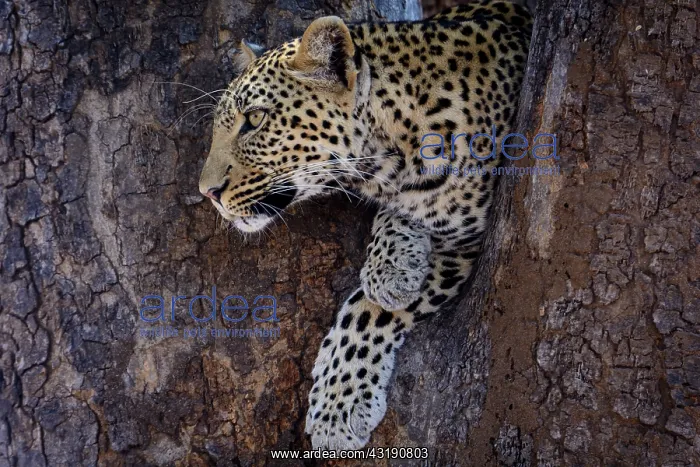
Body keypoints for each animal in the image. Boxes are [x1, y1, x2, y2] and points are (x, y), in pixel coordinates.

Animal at [198, 0, 532, 450]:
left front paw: (336, 406)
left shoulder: (470, 241)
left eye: (255, 119)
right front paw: (393, 265)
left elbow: (368, 311)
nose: (207, 192)